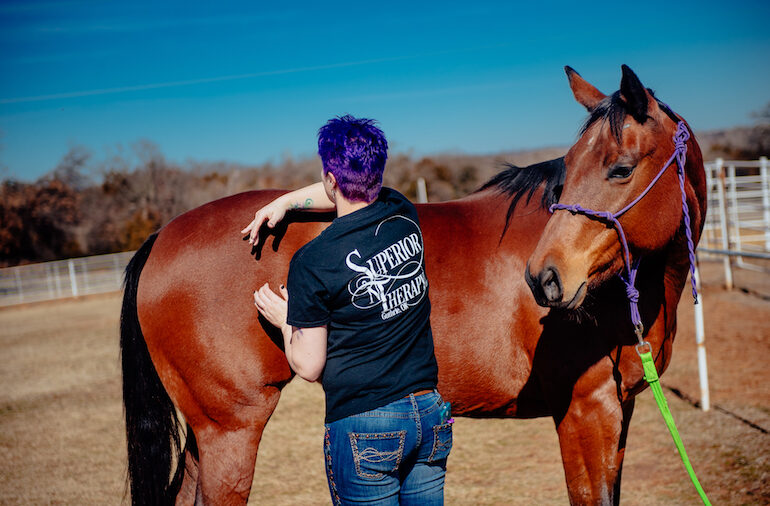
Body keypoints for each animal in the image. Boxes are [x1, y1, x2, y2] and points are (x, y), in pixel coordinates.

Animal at [120, 64, 706, 505]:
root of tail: (161, 237)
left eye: (621, 168)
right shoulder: (586, 412)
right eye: (570, 167)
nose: (545, 278)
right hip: (229, 432)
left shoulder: (618, 411)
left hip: (206, 437)